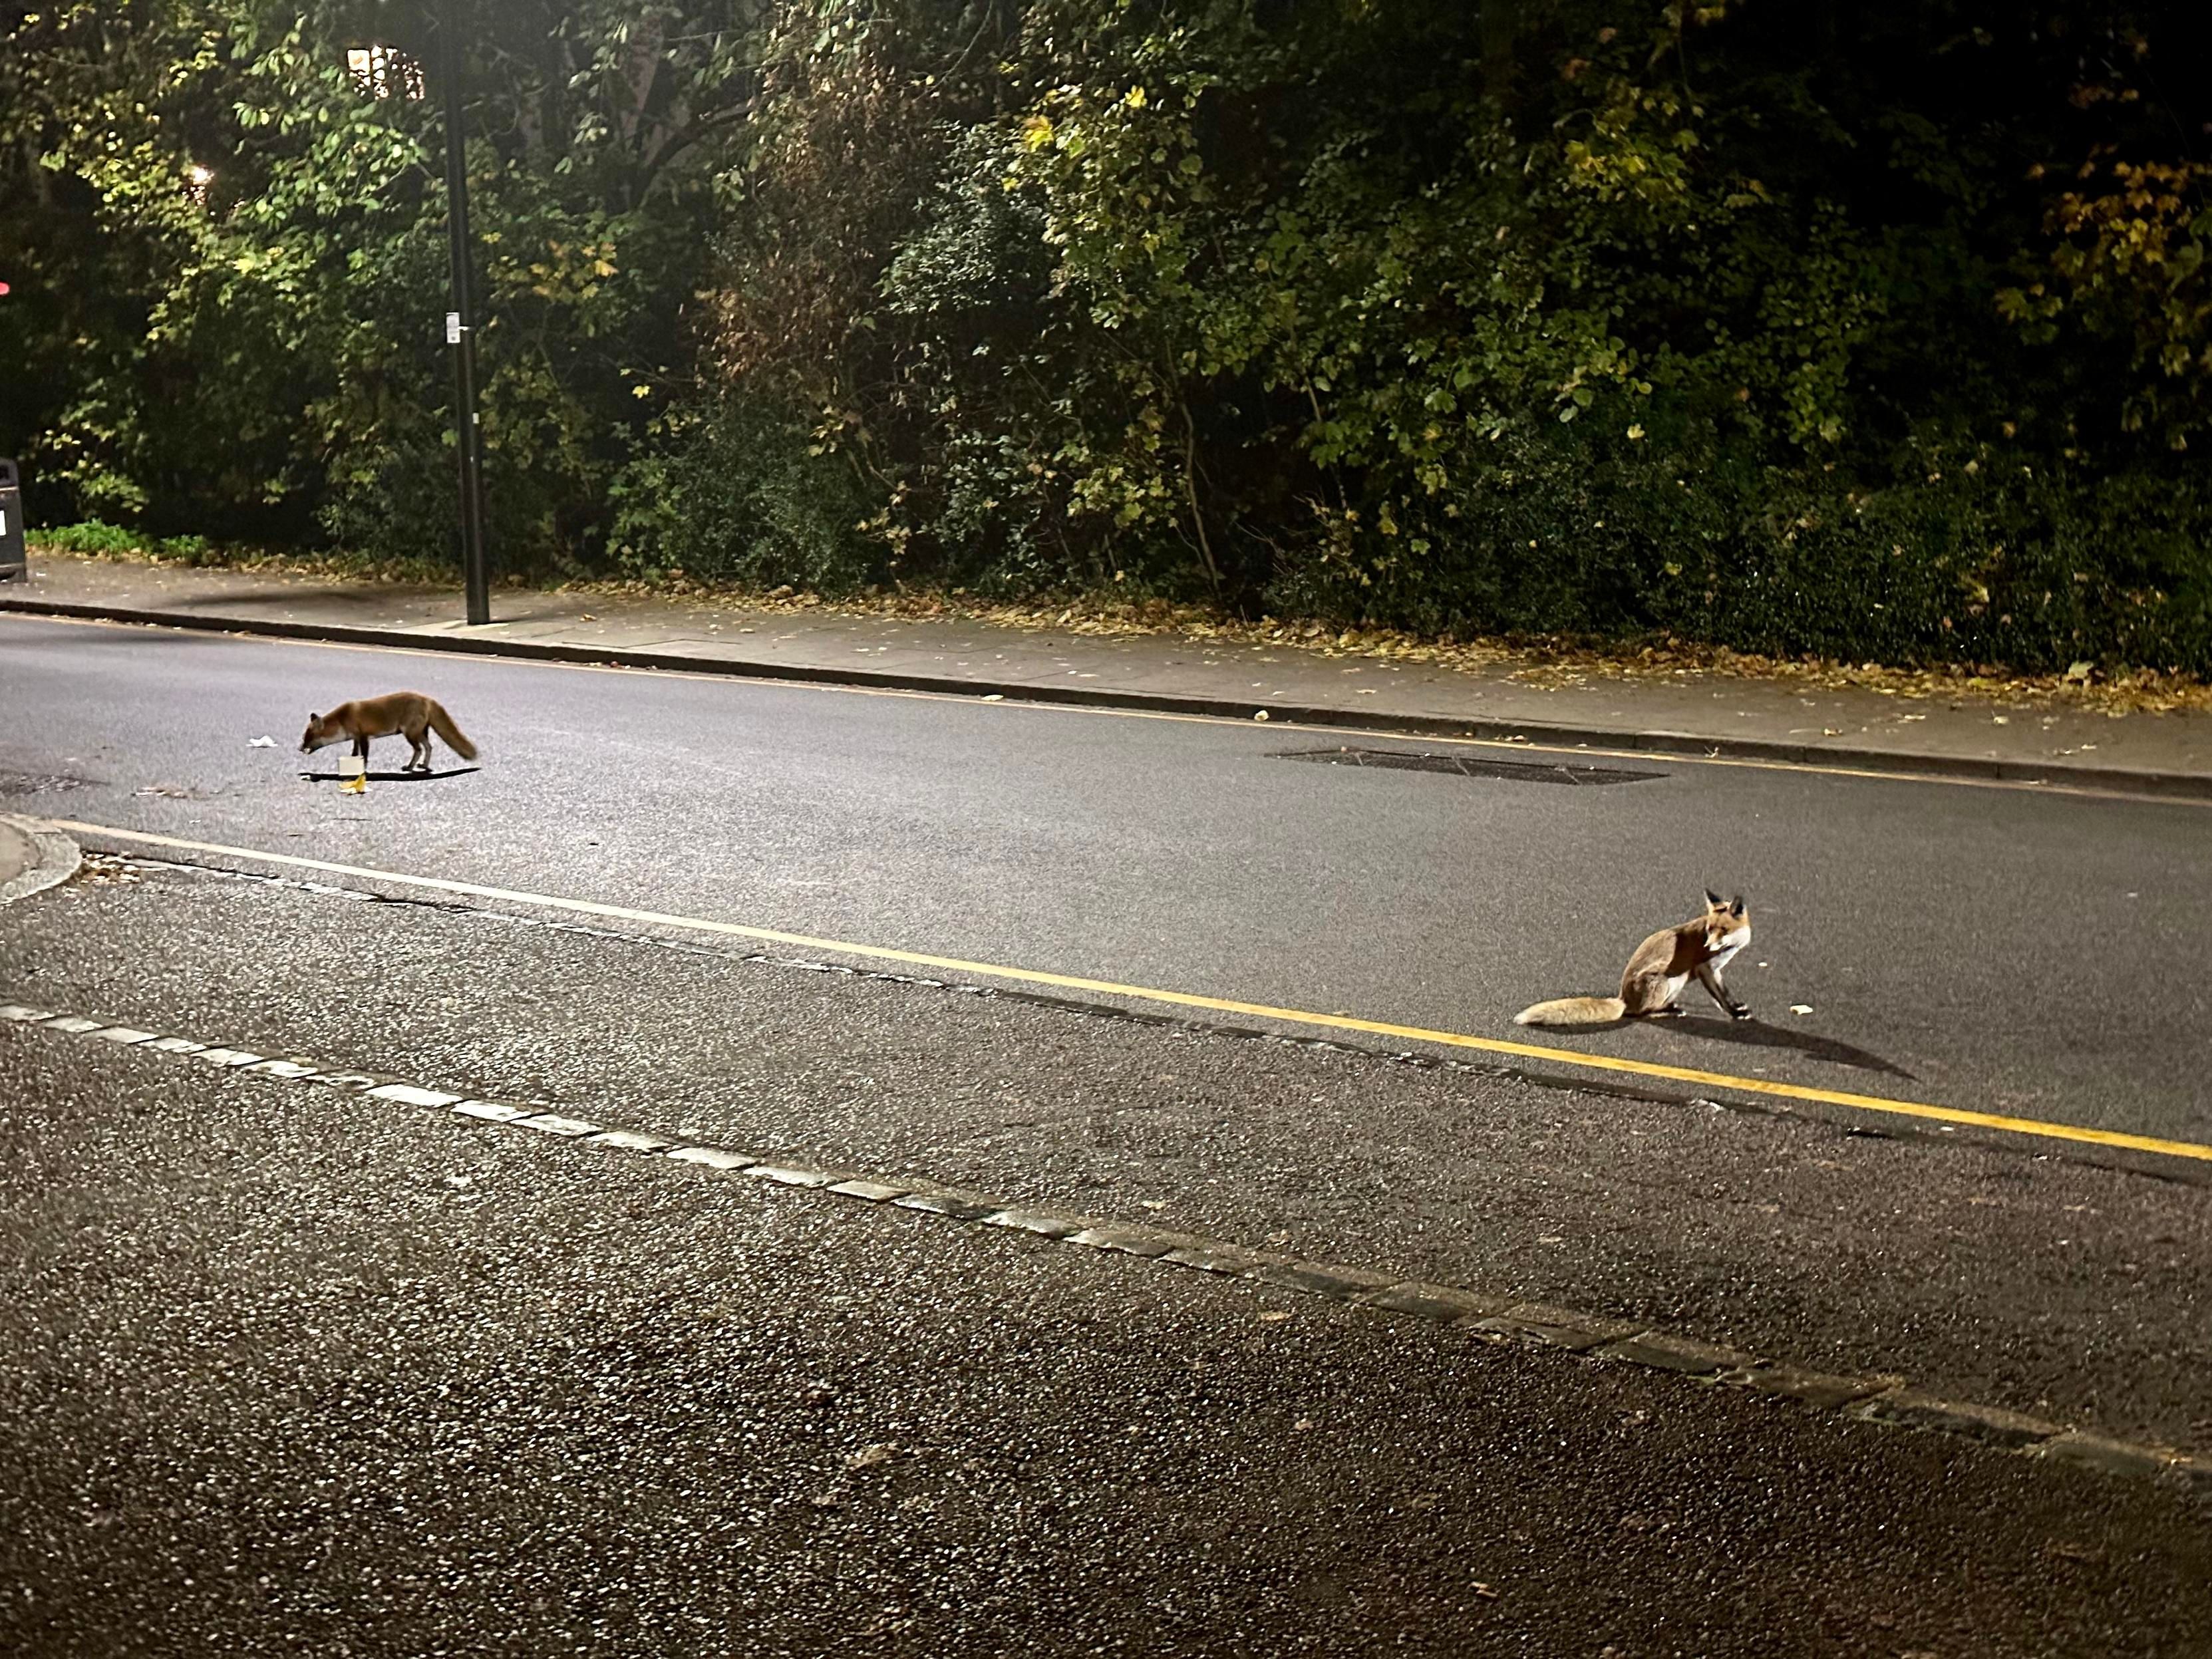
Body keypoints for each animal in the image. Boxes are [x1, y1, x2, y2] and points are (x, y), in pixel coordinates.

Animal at [300, 692, 477, 774]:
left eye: (308, 738)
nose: (300, 749)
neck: (343, 719)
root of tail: (427, 698)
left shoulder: (364, 737)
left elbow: (365, 757)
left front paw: (363, 770)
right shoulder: (356, 738)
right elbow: (354, 753)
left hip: (410, 734)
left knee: (419, 749)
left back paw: (410, 767)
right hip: (420, 733)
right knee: (429, 747)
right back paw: (424, 766)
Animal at [1514, 891, 1753, 1028]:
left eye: (1722, 930)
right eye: (1709, 929)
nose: (1707, 946)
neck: (1732, 946)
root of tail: (1622, 998)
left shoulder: (1715, 970)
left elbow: (1725, 994)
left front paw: (1737, 1008)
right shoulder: (1705, 968)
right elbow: (1720, 997)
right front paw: (1734, 1013)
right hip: (1667, 979)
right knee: (1640, 1013)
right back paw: (1668, 1011)